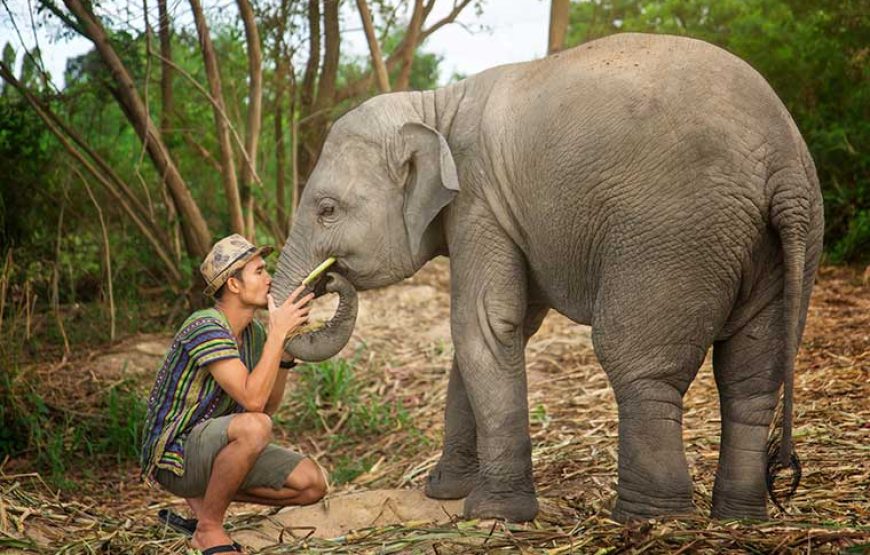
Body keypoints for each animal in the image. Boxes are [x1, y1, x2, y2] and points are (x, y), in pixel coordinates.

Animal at [272, 32, 824, 524]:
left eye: (326, 209)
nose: (327, 280)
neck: (437, 106)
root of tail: (782, 164)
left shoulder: (480, 202)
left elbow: (482, 325)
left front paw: (494, 513)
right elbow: (494, 333)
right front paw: (445, 493)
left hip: (674, 237)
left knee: (639, 366)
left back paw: (649, 518)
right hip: (785, 246)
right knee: (751, 380)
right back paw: (739, 518)